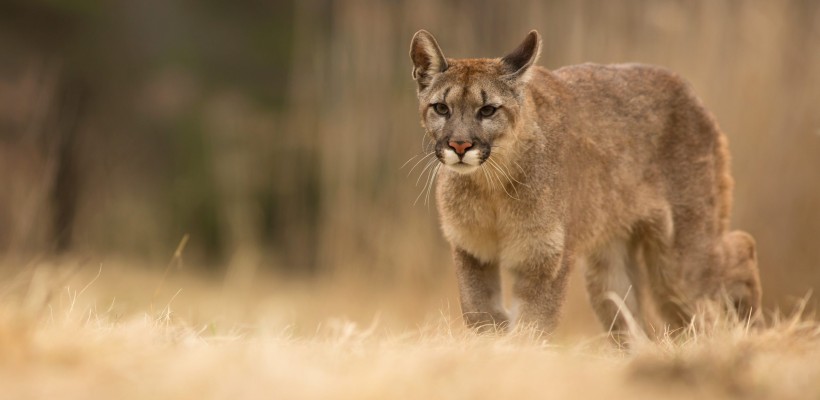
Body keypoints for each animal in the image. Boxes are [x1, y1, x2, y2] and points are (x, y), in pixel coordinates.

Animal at [410, 29, 764, 336]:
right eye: (441, 108)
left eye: (487, 110)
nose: (459, 145)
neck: (489, 186)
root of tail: (689, 91)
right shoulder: (472, 251)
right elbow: (479, 313)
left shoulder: (545, 258)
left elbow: (531, 324)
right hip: (611, 268)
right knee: (638, 321)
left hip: (681, 260)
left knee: (742, 246)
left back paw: (752, 328)